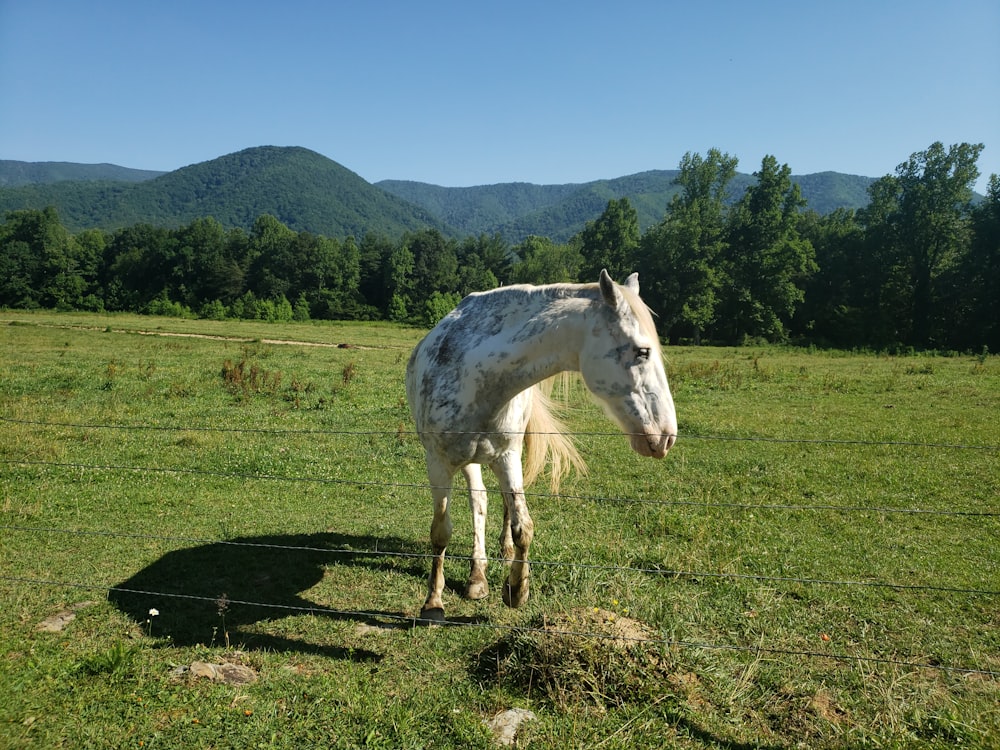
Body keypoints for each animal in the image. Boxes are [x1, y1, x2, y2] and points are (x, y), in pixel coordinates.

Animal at [406, 270, 680, 624]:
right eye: (642, 352)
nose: (666, 436)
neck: (477, 377)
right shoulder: (438, 463)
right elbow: (441, 531)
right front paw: (433, 603)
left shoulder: (507, 457)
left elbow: (523, 526)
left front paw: (516, 590)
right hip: (468, 460)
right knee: (479, 501)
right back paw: (477, 578)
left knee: (495, 503)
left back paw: (494, 562)